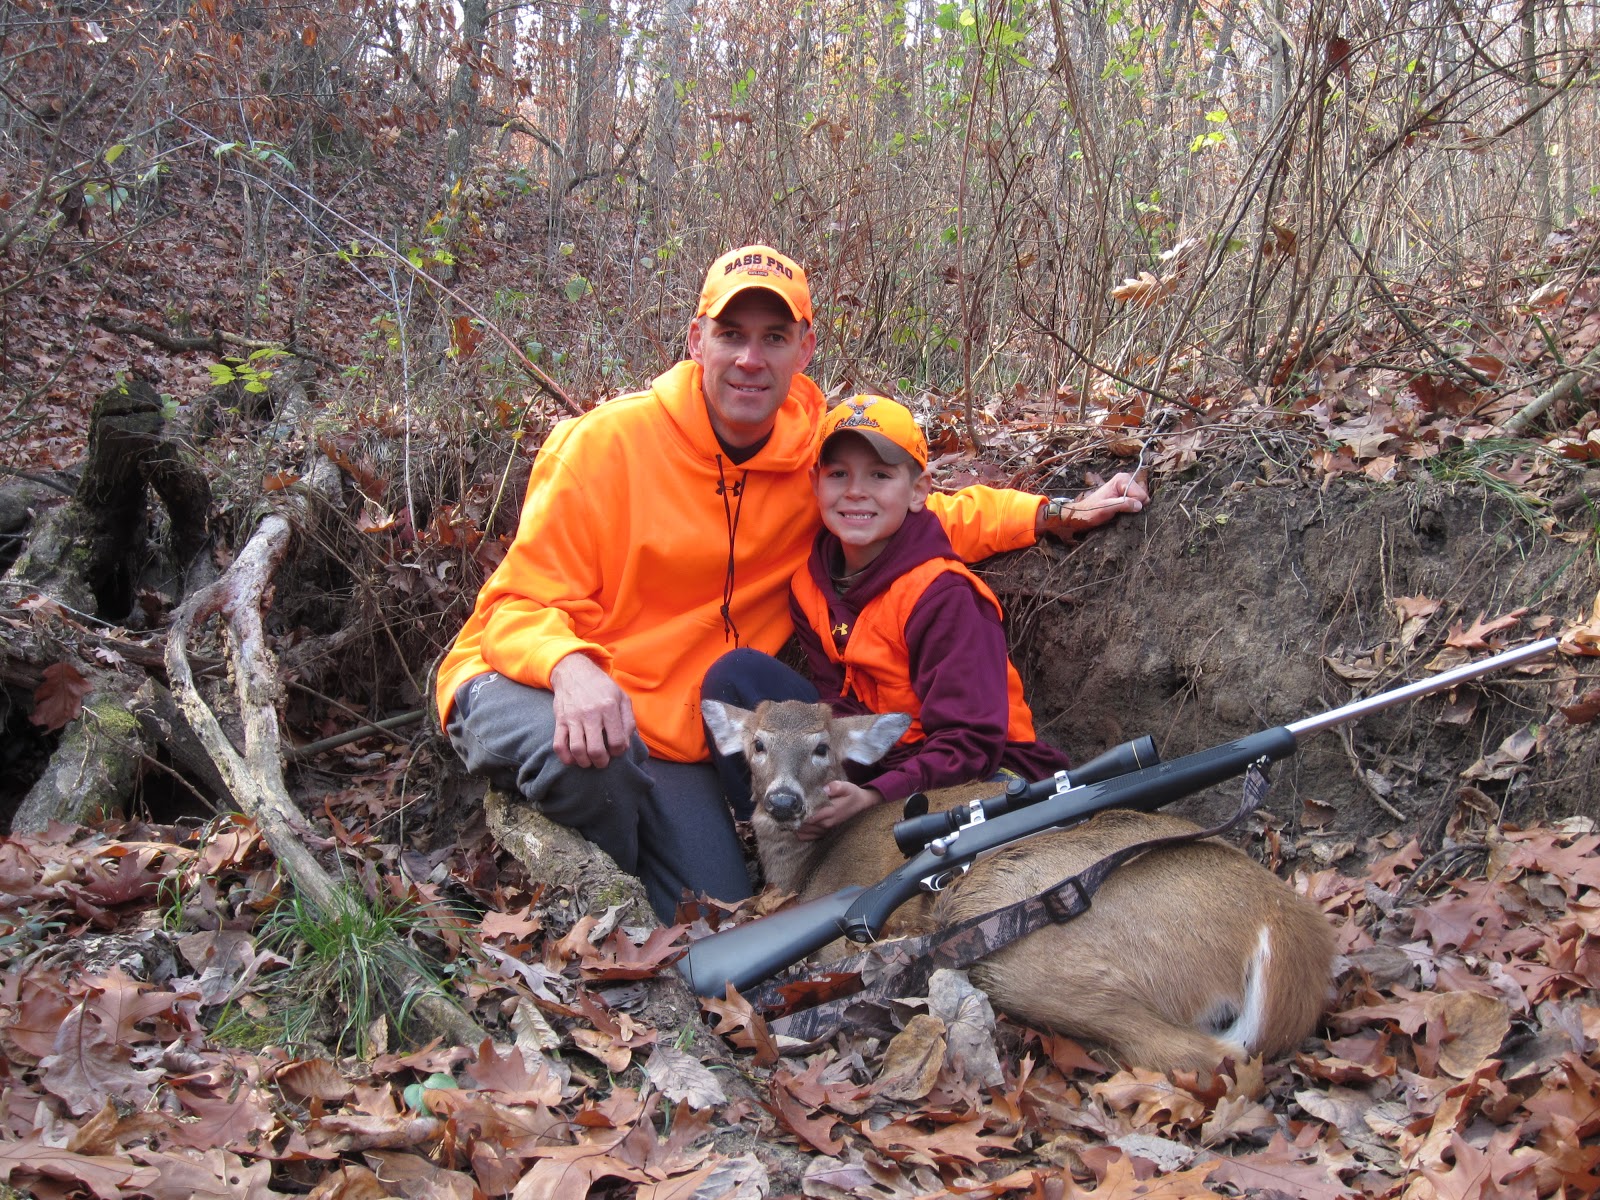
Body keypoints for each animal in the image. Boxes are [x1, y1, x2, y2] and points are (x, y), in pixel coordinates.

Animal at [701, 698, 1336, 1075]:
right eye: (757, 743)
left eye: (822, 746)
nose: (784, 802)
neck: (810, 868)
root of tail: (1285, 925)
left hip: (1025, 935)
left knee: (1193, 1055)